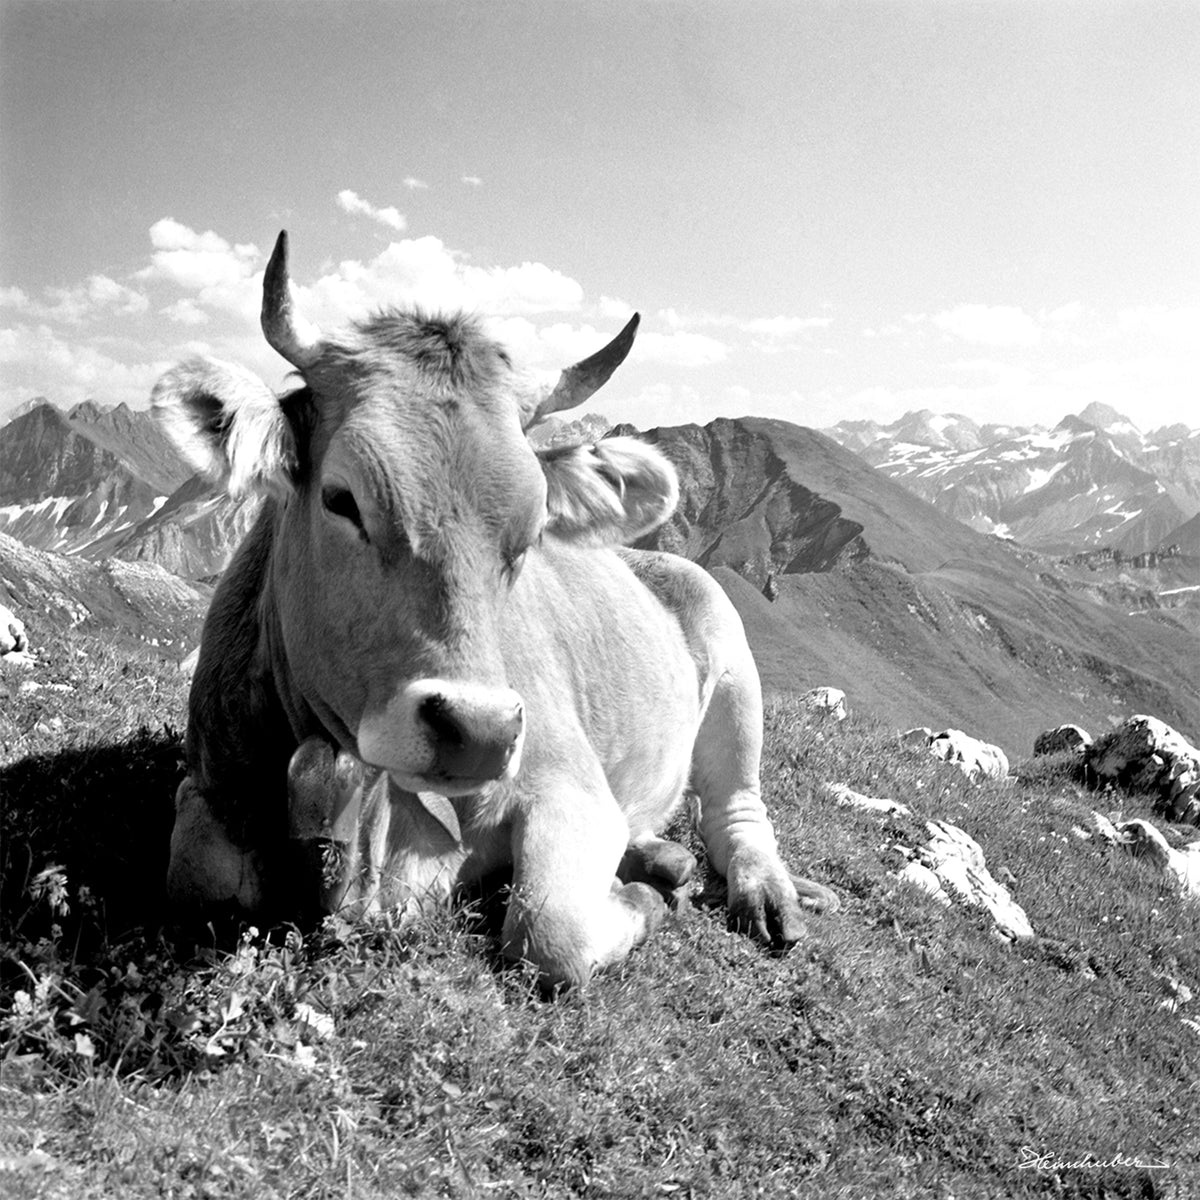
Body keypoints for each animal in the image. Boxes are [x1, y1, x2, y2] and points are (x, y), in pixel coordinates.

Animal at [153, 231, 838, 987]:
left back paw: (756, 891)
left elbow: (551, 931)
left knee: (737, 808)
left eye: (533, 530)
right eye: (341, 499)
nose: (477, 731)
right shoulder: (212, 779)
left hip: (733, 658)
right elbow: (205, 878)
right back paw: (660, 856)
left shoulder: (571, 786)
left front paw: (648, 903)